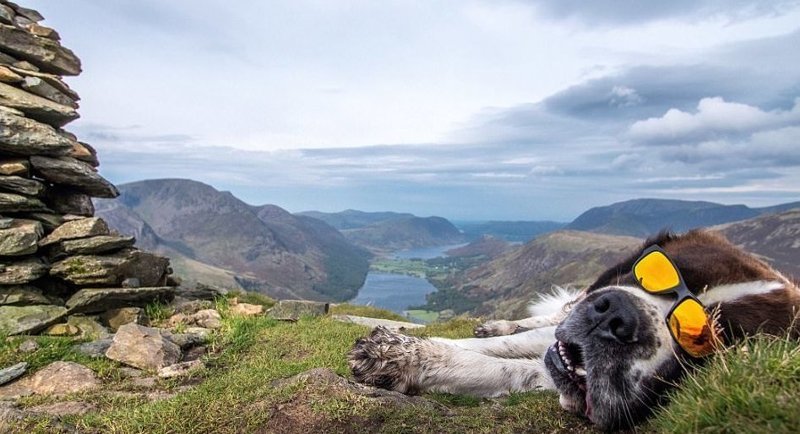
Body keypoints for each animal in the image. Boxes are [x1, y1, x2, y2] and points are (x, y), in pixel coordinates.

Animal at [348, 232, 800, 428]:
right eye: (655, 273)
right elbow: (507, 343)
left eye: (707, 340)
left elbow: (507, 367)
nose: (616, 316)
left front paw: (410, 361)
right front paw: (401, 348)